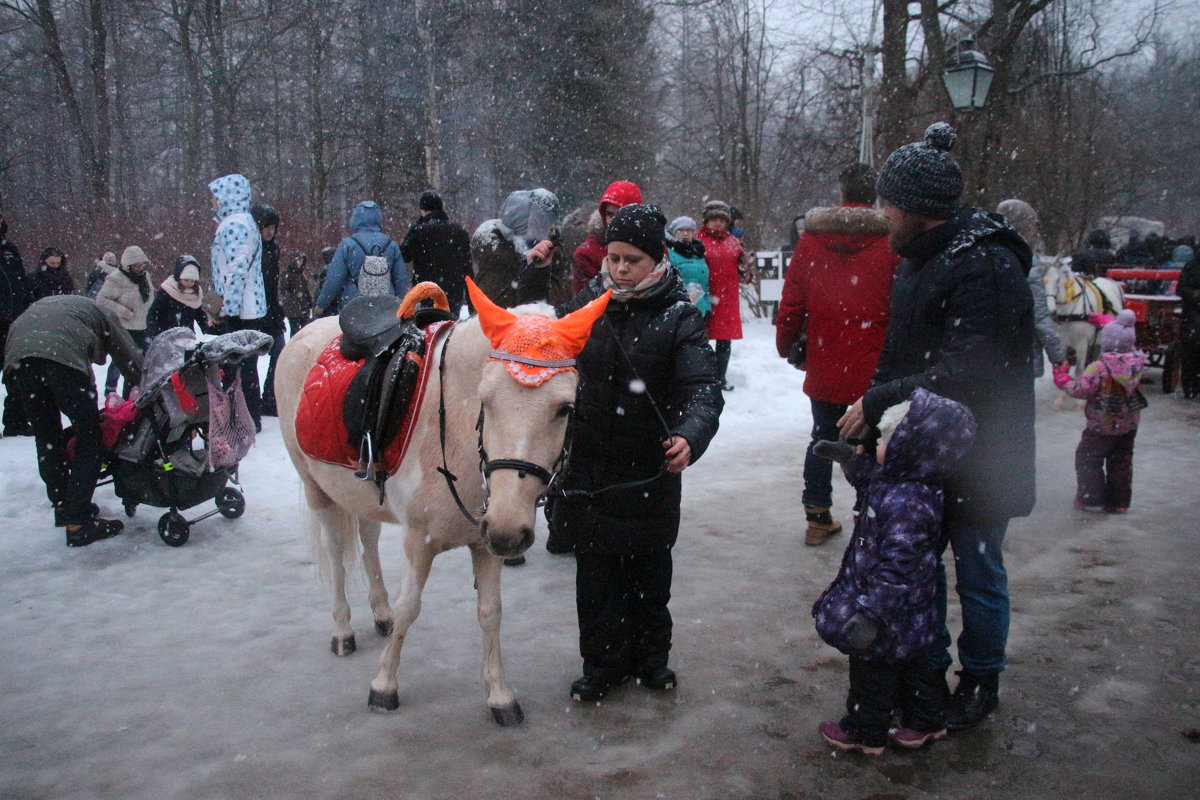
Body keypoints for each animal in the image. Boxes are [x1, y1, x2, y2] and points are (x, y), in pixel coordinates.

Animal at [273, 280, 609, 724]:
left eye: (564, 408)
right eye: (486, 399)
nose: (509, 532)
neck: (456, 435)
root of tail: (306, 331)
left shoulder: (485, 541)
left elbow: (490, 611)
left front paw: (500, 695)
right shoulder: (420, 540)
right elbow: (409, 608)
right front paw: (383, 686)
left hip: (362, 492)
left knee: (368, 539)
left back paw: (378, 612)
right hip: (316, 487)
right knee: (336, 553)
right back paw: (343, 631)